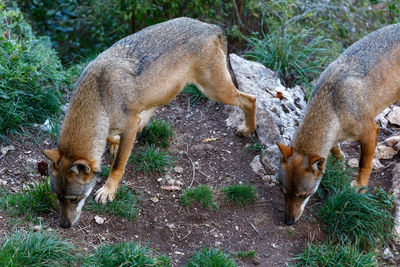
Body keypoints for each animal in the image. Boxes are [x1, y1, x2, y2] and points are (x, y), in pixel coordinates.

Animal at [276, 23, 400, 226]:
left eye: (303, 196)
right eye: (283, 192)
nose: (288, 221)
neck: (333, 106)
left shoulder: (370, 132)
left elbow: (364, 164)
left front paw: (360, 187)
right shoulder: (335, 136)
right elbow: (334, 150)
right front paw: (339, 161)